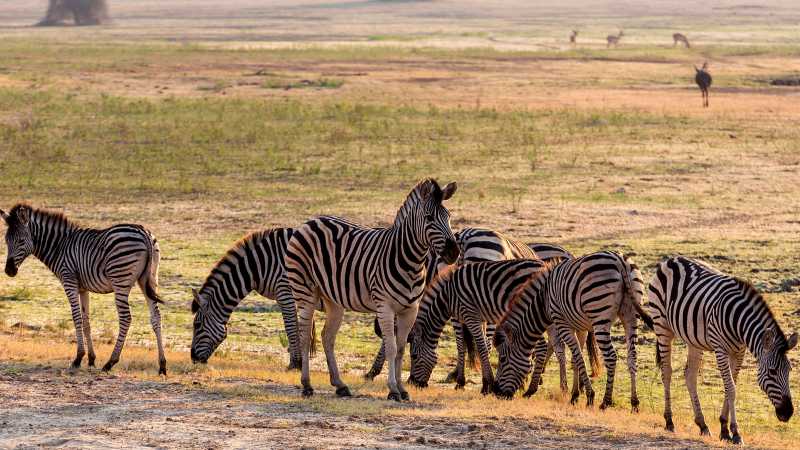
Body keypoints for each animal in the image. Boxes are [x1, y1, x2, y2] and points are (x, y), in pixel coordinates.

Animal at [1, 204, 165, 374]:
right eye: (6, 241)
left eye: (21, 241)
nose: (9, 271)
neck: (59, 246)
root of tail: (144, 233)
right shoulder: (83, 288)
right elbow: (86, 321)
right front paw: (91, 359)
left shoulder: (69, 281)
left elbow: (76, 318)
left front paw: (78, 358)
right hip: (149, 280)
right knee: (156, 317)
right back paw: (162, 365)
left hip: (121, 279)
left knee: (126, 318)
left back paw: (110, 362)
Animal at [285, 179, 459, 401]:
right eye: (429, 218)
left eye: (448, 217)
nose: (454, 252)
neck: (411, 261)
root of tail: (310, 221)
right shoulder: (385, 307)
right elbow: (391, 347)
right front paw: (393, 389)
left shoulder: (410, 309)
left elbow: (400, 348)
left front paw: (402, 390)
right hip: (304, 291)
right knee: (305, 336)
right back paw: (307, 385)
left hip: (333, 300)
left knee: (327, 337)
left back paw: (340, 385)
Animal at [408, 259, 553, 394]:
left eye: (414, 356)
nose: (413, 383)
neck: (447, 296)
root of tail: (543, 265)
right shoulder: (473, 318)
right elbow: (477, 346)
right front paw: (482, 383)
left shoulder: (470, 315)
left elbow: (478, 347)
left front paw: (486, 384)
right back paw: (529, 385)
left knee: (541, 347)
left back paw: (531, 388)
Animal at [540, 251, 653, 410]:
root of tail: (621, 261)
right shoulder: (581, 328)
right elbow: (575, 358)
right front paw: (575, 394)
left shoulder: (561, 323)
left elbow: (574, 356)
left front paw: (585, 395)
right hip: (631, 314)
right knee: (632, 356)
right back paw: (634, 402)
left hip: (600, 315)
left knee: (611, 356)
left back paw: (606, 401)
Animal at [648, 256, 797, 445]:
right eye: (772, 372)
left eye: (789, 371)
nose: (788, 413)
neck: (739, 323)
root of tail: (671, 260)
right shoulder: (720, 350)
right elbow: (731, 388)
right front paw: (736, 432)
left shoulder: (739, 352)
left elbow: (730, 386)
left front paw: (725, 430)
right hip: (662, 327)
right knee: (666, 372)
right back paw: (669, 421)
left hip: (693, 339)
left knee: (690, 375)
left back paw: (703, 425)